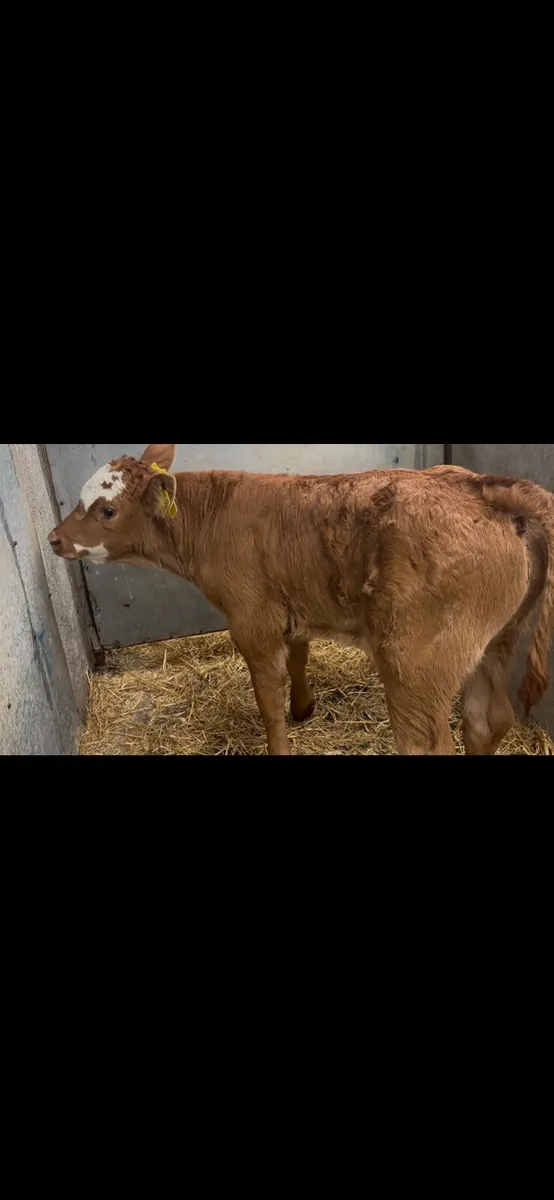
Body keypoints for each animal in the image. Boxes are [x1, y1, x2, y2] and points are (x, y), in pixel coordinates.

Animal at [49, 443, 554, 756]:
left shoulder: (251, 619)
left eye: (108, 510)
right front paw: (304, 708)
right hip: (494, 643)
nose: (55, 539)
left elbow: (268, 698)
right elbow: (298, 658)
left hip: (416, 666)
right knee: (488, 719)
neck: (212, 517)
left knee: (428, 742)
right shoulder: (290, 605)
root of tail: (484, 487)